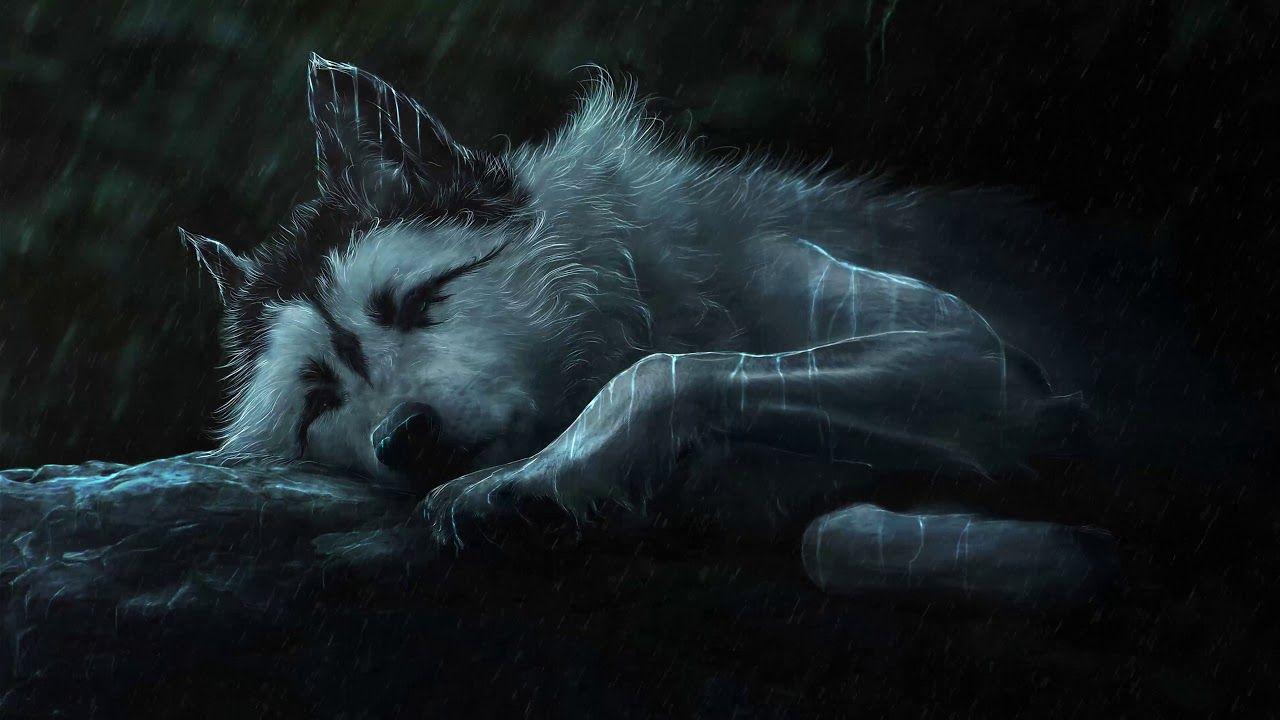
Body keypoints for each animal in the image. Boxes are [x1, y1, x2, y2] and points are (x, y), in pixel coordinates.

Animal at [184, 54, 1087, 557]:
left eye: (418, 301)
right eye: (319, 400)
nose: (403, 436)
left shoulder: (975, 355)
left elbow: (662, 373)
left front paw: (529, 480)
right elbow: (836, 531)